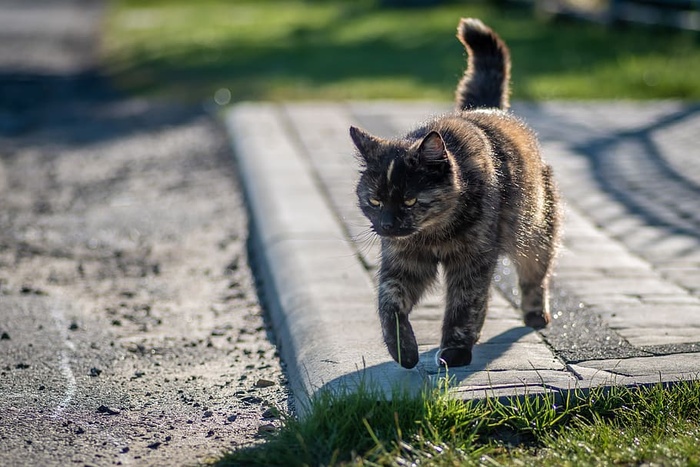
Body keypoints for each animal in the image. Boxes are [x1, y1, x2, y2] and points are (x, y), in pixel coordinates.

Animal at [352, 17, 560, 370]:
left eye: (409, 200)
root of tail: (486, 109)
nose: (388, 225)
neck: (433, 233)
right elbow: (388, 303)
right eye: (375, 201)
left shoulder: (472, 262)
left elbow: (465, 307)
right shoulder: (403, 262)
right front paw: (403, 350)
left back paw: (535, 314)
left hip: (535, 232)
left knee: (535, 275)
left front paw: (456, 351)